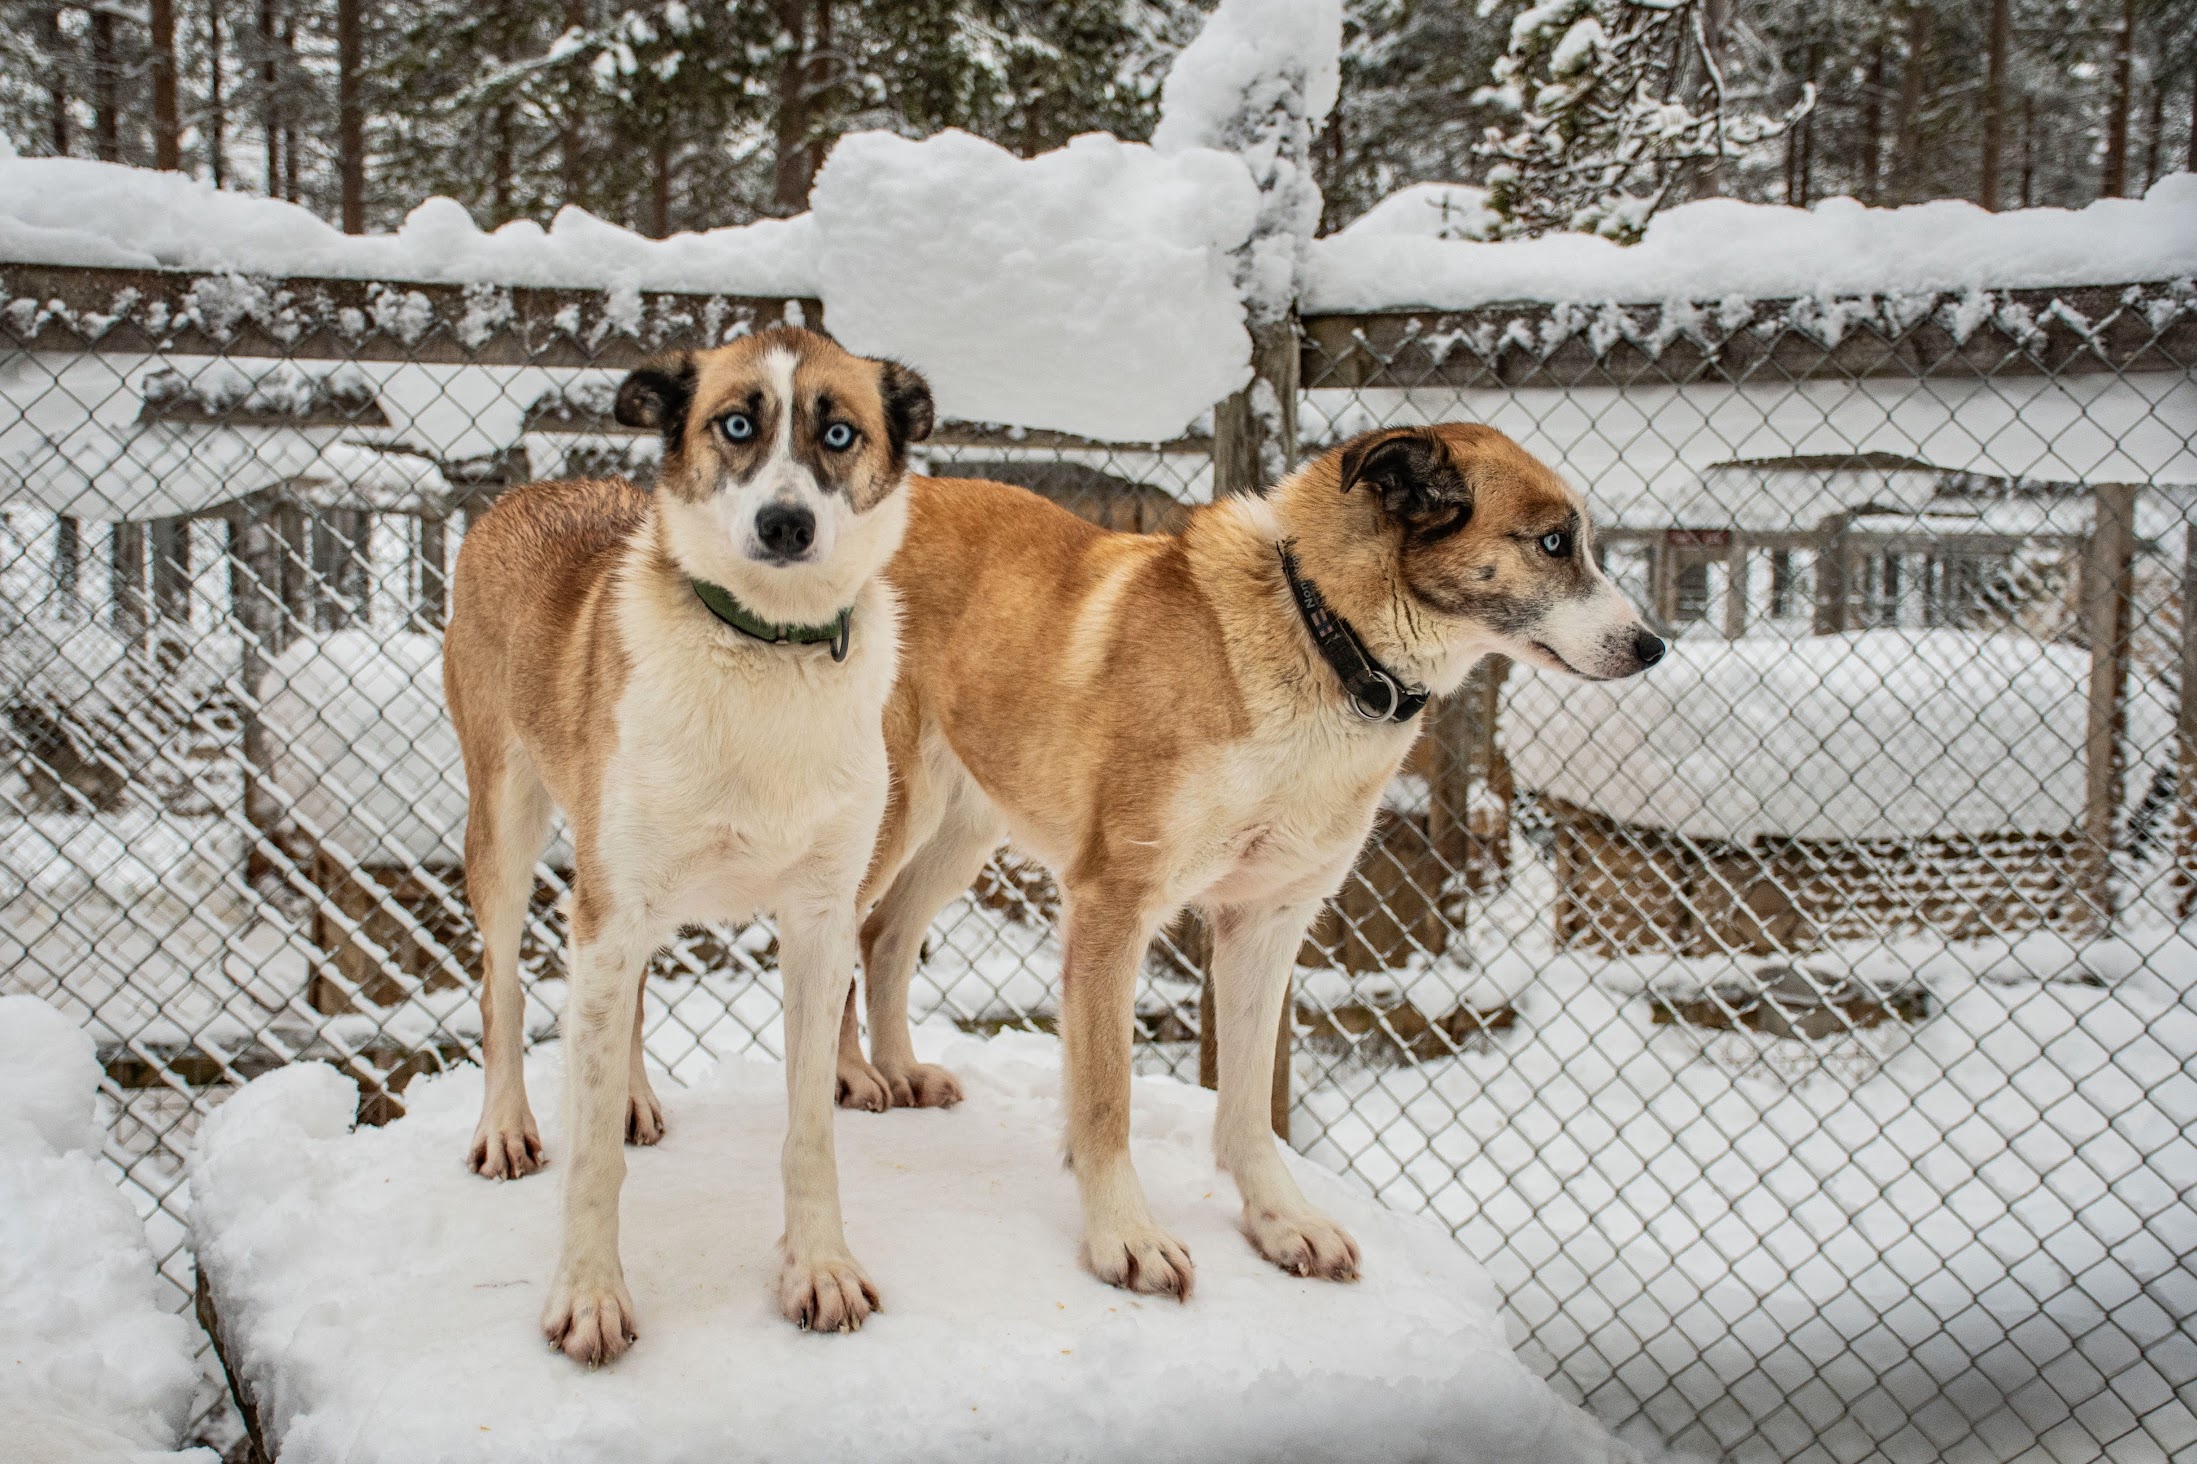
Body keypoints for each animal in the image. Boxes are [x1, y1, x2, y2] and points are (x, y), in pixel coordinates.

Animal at [445, 327, 927, 1354]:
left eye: (838, 432)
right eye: (736, 424)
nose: (785, 526)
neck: (766, 652)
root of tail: (529, 491)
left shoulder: (819, 920)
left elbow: (809, 1131)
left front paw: (819, 1270)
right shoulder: (607, 910)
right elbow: (590, 1159)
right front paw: (589, 1296)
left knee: (618, 1004)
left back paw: (627, 1094)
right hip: (507, 827)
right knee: (502, 985)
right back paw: (505, 1126)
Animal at [830, 419, 1652, 1292]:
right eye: (1554, 542)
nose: (1654, 646)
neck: (1325, 638)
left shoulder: (1265, 921)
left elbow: (1252, 1103)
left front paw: (1280, 1220)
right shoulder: (1113, 906)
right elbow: (1105, 1099)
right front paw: (1125, 1235)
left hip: (962, 829)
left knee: (883, 936)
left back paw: (898, 1068)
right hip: (887, 816)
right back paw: (847, 1075)